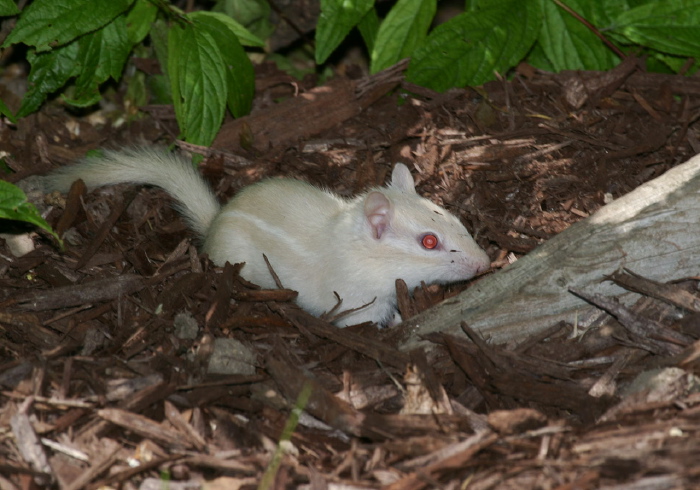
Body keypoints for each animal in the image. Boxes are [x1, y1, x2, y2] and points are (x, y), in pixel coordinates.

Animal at [46, 147, 490, 328]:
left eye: (453, 217)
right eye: (429, 242)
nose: (486, 263)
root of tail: (212, 224)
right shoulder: (356, 304)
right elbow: (370, 322)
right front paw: (399, 322)